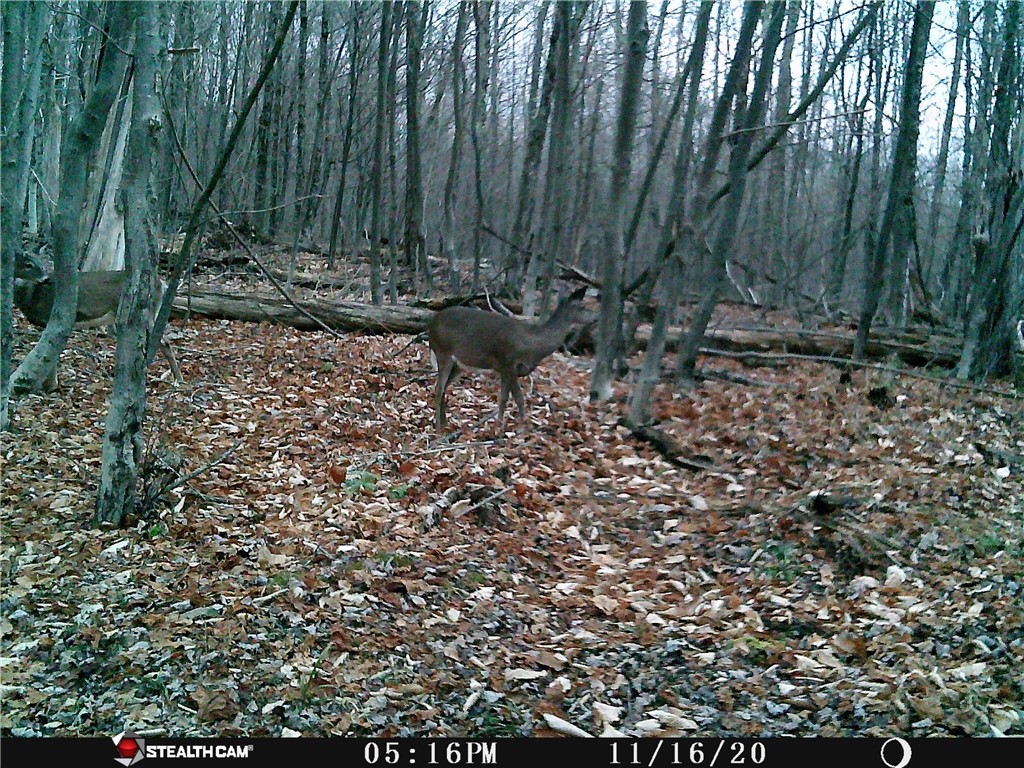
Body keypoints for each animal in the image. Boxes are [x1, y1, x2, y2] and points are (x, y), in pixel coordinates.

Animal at [13, 269, 183, 390]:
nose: (43, 278)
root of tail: (161, 284)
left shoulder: (52, 318)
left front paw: (50, 386)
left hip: (147, 312)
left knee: (164, 341)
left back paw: (177, 380)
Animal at [428, 287, 587, 430]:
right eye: (582, 306)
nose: (593, 318)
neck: (533, 343)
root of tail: (431, 325)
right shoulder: (509, 362)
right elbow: (519, 397)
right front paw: (524, 428)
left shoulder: (504, 369)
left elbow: (503, 398)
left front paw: (499, 425)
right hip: (443, 351)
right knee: (438, 388)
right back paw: (438, 428)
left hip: (458, 364)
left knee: (444, 388)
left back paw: (444, 423)